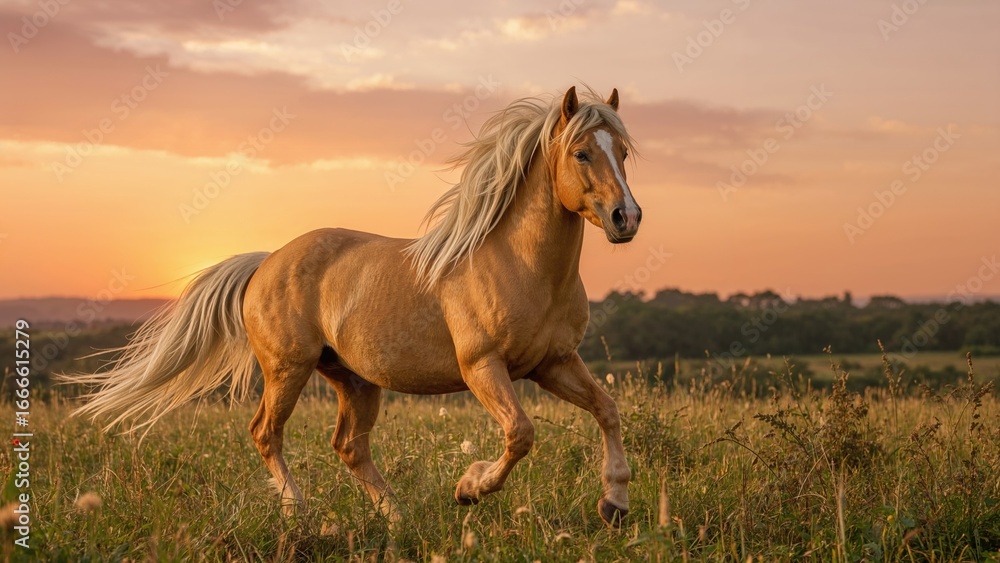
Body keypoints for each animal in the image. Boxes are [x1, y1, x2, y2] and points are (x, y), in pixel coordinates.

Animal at [69, 85, 643, 527]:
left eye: (623, 152)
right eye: (581, 153)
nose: (626, 218)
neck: (522, 266)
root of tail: (265, 262)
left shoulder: (554, 363)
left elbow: (607, 410)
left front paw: (614, 503)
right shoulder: (482, 367)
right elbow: (520, 433)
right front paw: (469, 488)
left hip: (355, 379)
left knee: (349, 447)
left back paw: (397, 516)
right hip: (288, 369)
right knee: (265, 433)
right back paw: (298, 511)